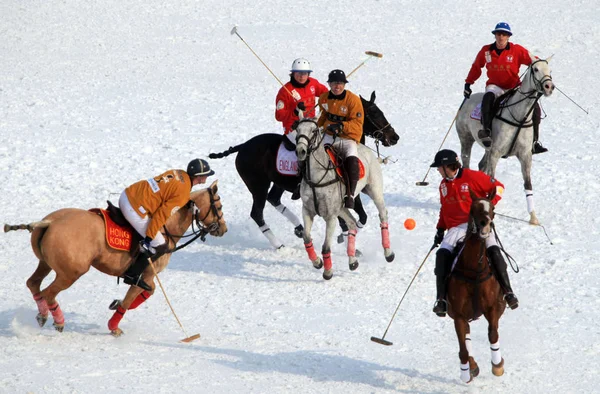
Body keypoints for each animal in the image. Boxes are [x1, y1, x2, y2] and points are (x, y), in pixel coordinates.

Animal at [4, 180, 227, 338]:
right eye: (219, 205)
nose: (223, 229)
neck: (167, 227)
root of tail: (49, 222)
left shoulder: (146, 278)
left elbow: (147, 293)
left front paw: (115, 303)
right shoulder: (144, 274)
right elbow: (129, 301)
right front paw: (114, 327)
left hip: (46, 263)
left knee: (33, 283)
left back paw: (42, 315)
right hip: (72, 272)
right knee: (48, 292)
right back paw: (57, 320)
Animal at [210, 91, 398, 248]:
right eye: (375, 113)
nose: (394, 137)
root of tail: (242, 146)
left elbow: (358, 217)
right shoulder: (348, 195)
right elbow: (357, 219)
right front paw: (345, 240)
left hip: (277, 182)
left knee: (274, 199)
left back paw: (299, 228)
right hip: (257, 185)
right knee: (257, 213)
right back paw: (278, 244)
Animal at [294, 117, 394, 280]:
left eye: (313, 130)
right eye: (297, 129)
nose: (300, 151)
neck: (317, 178)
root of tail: (370, 152)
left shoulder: (330, 217)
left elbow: (325, 247)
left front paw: (328, 272)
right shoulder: (307, 211)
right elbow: (306, 237)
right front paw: (317, 262)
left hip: (375, 191)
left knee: (383, 214)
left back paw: (388, 253)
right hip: (341, 207)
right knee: (352, 223)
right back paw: (352, 261)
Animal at [448, 189, 508, 384]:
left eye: (493, 208)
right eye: (473, 208)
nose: (485, 226)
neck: (474, 270)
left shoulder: (493, 307)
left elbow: (493, 333)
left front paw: (497, 365)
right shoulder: (458, 315)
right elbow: (463, 349)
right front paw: (466, 372)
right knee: (466, 337)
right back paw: (472, 367)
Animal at [458, 54, 556, 225]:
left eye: (549, 70)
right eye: (535, 69)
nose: (549, 86)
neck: (519, 116)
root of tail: (468, 99)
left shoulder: (525, 156)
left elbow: (528, 184)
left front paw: (533, 218)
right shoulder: (496, 153)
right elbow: (491, 181)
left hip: (487, 148)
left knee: (481, 165)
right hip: (466, 139)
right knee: (467, 163)